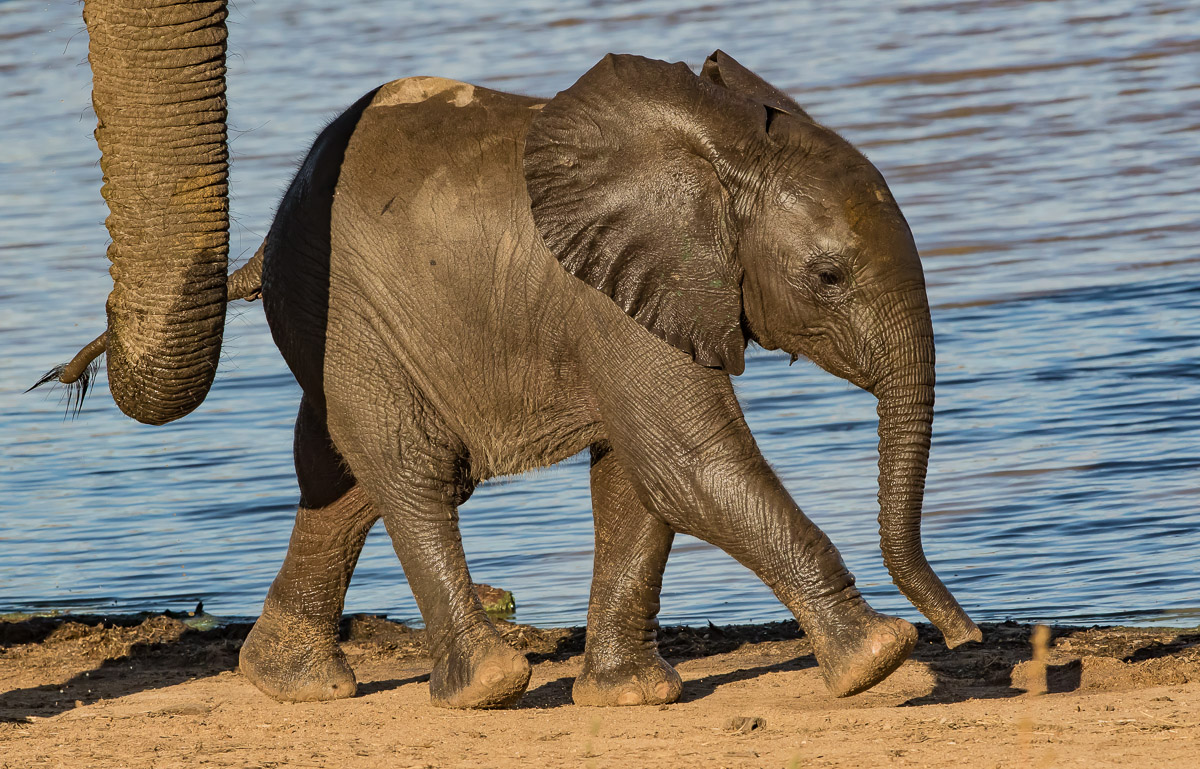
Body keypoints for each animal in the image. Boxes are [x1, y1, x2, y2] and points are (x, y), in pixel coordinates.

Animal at [41, 0, 980, 710]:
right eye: (829, 278)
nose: (962, 632)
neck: (725, 150)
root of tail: (267, 243)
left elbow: (638, 478)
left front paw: (632, 697)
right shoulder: (608, 299)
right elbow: (686, 462)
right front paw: (880, 660)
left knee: (343, 473)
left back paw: (292, 682)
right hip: (355, 316)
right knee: (410, 468)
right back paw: (487, 685)